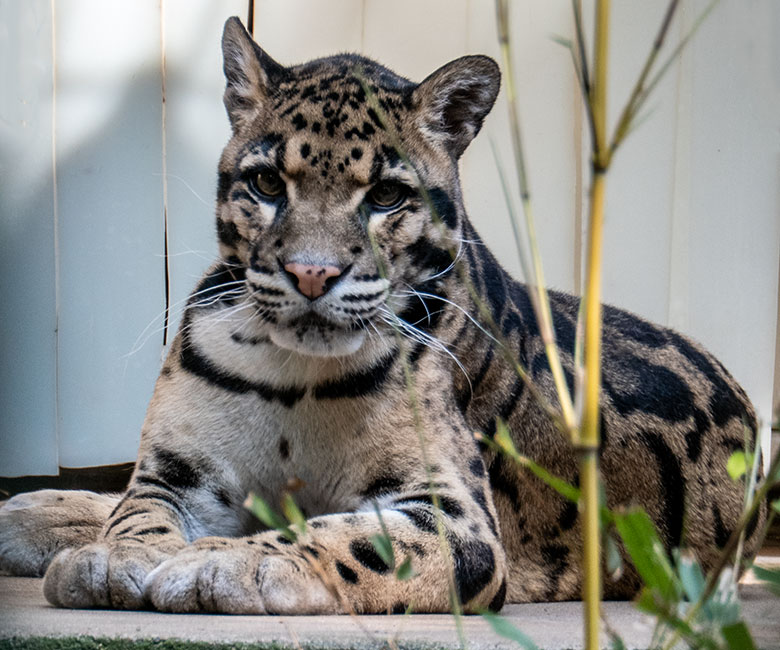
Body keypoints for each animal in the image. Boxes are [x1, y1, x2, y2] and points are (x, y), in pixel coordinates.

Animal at [0, 16, 764, 612]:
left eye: (387, 196)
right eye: (266, 182)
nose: (311, 272)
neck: (292, 375)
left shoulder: (457, 514)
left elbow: (350, 535)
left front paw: (228, 559)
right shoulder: (179, 469)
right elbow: (140, 506)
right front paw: (115, 555)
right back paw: (36, 511)